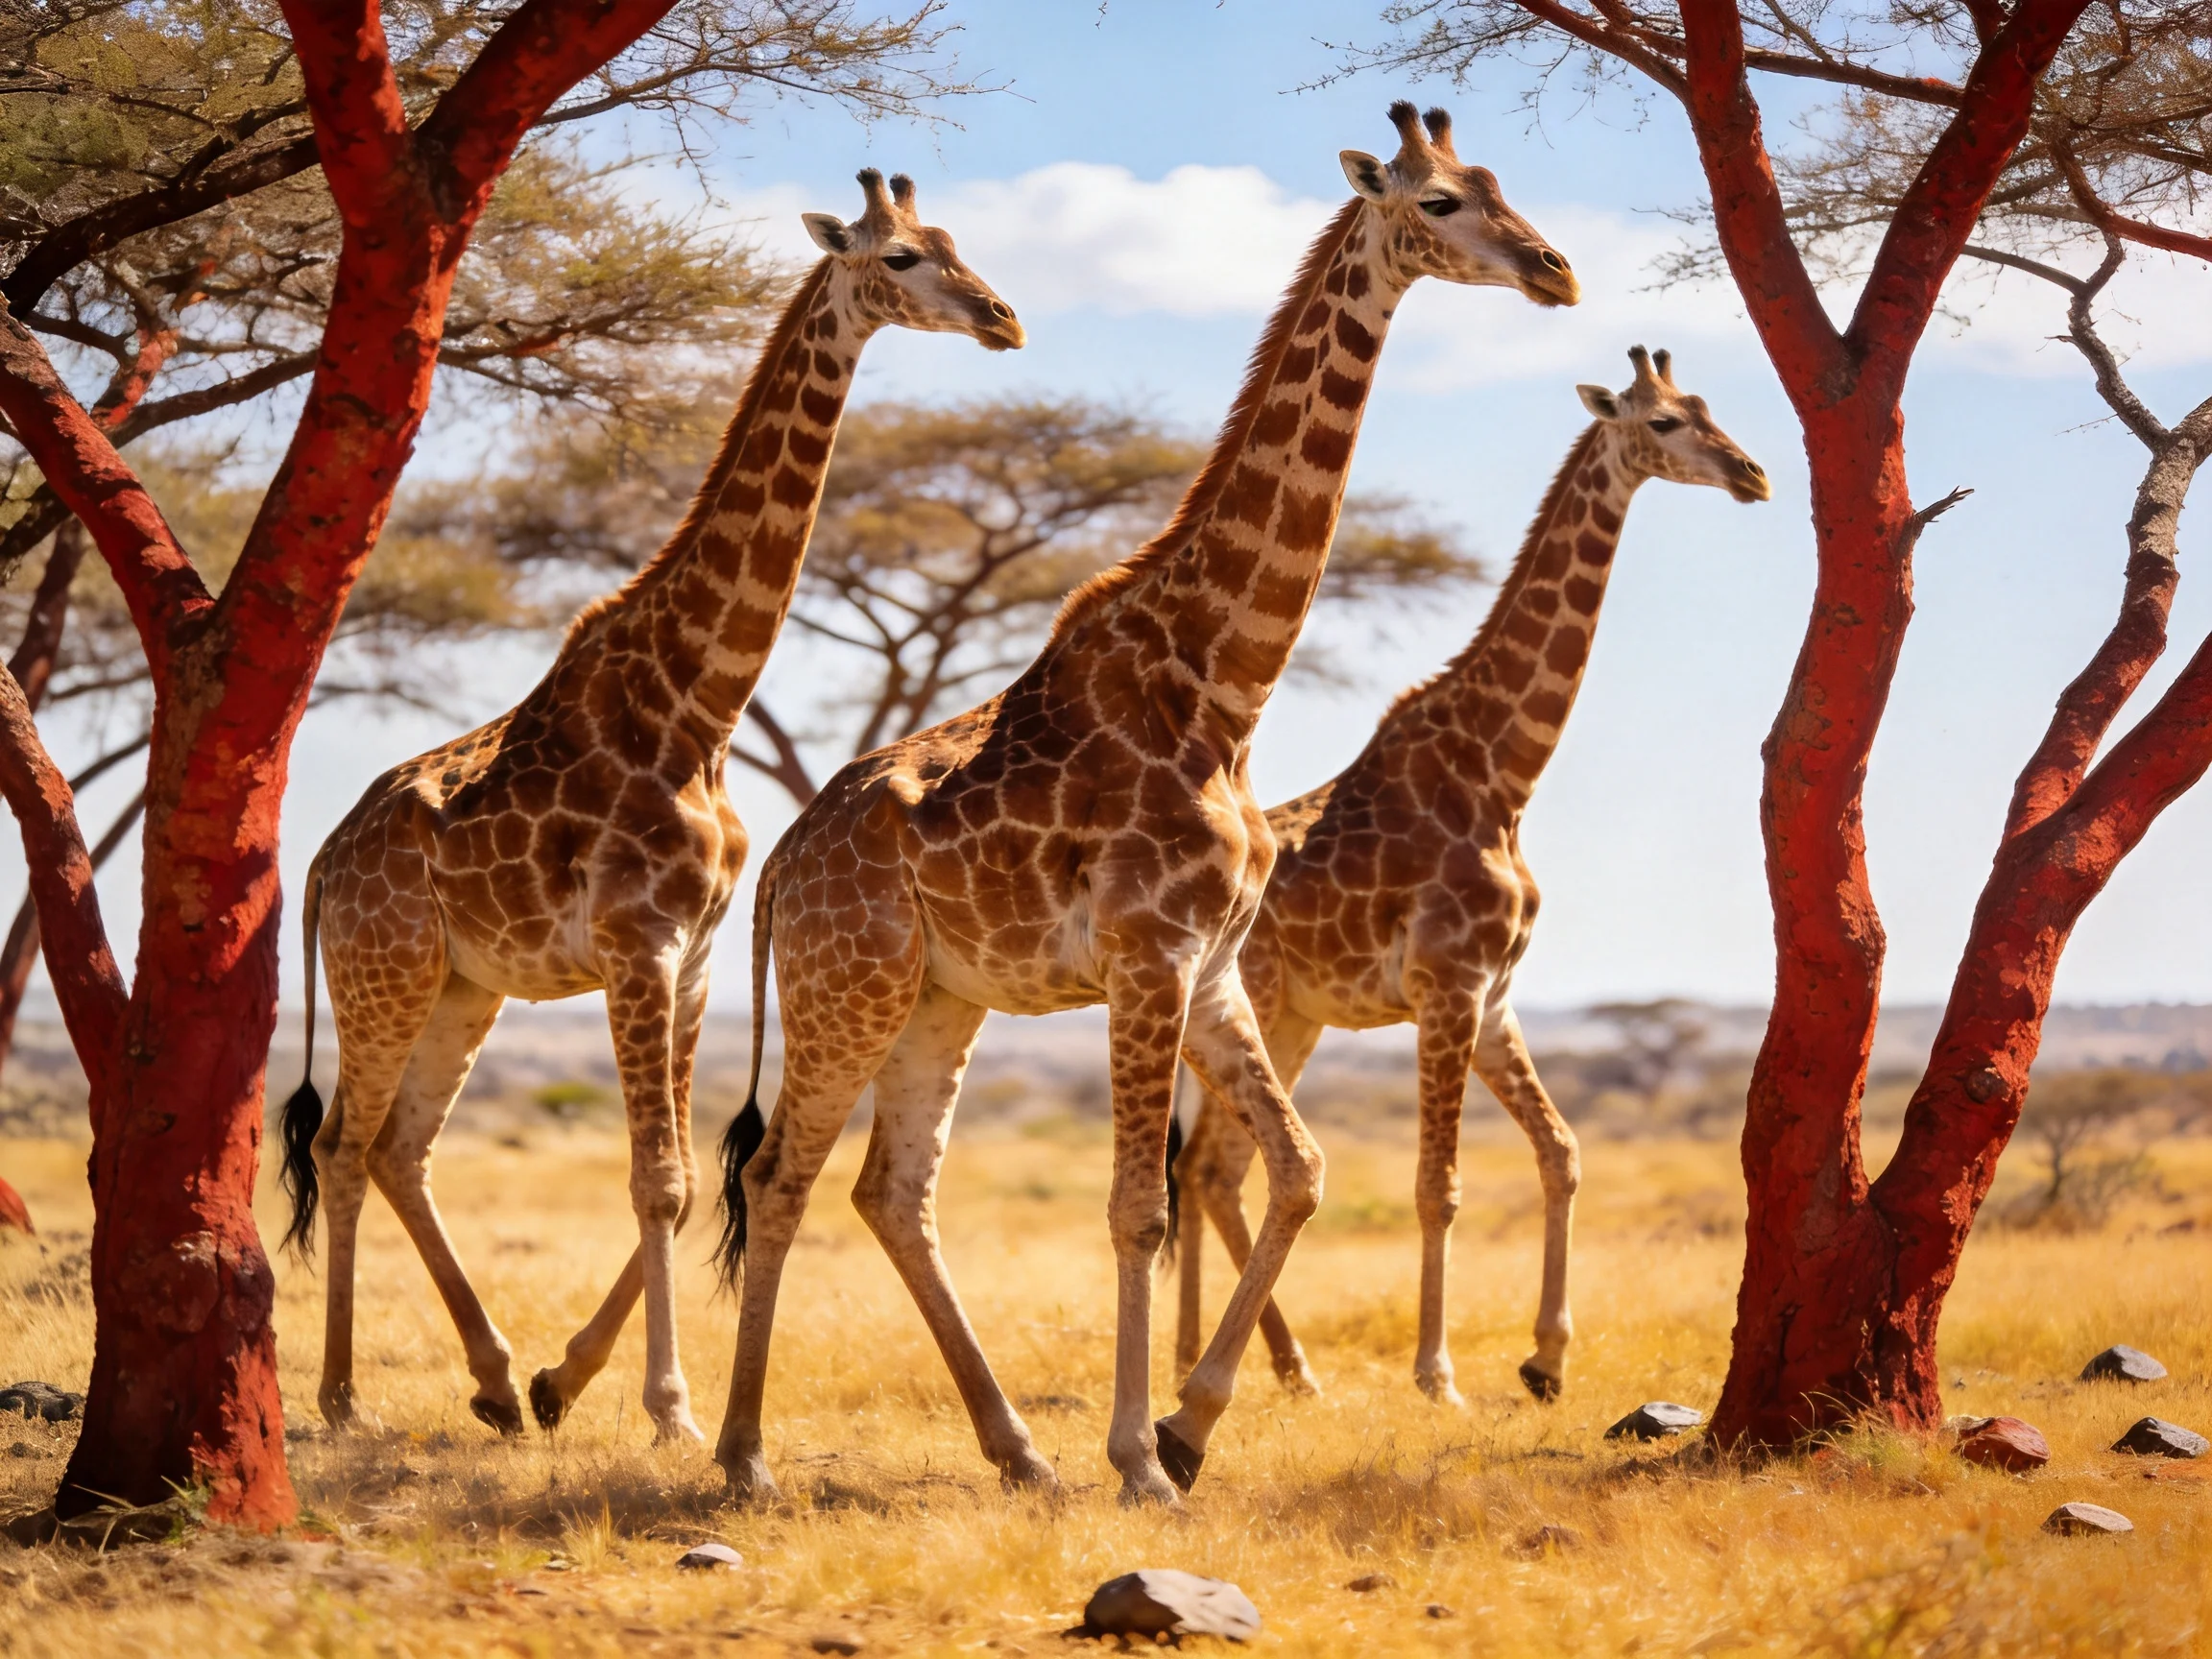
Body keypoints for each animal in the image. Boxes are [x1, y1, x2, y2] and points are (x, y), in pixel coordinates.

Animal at [274, 170, 1023, 1445]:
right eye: (903, 258)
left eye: (957, 243)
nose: (1003, 319)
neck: (700, 703)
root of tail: (323, 860)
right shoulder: (639, 943)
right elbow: (658, 1176)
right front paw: (670, 1411)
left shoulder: (701, 956)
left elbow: (677, 1181)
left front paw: (565, 1380)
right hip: (387, 972)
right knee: (341, 1141)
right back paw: (338, 1398)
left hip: (464, 984)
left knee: (400, 1148)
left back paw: (491, 1378)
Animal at [710, 104, 1580, 1506]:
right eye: (1440, 202)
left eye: (1500, 183)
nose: (1557, 269)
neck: (1223, 683)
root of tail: (782, 868)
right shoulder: (1146, 956)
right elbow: (1140, 1206)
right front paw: (1139, 1455)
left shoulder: (1216, 966)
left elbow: (1299, 1170)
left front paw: (1188, 1422)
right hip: (849, 988)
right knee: (785, 1176)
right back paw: (743, 1457)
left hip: (937, 1001)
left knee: (891, 1192)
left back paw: (1015, 1450)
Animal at [1170, 346, 1769, 1406]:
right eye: (1663, 423)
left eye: (1708, 406)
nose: (1752, 475)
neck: (1503, 772)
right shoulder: (1446, 987)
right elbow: (1437, 1186)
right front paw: (1437, 1375)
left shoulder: (1494, 999)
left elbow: (1563, 1152)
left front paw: (1548, 1359)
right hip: (1265, 1007)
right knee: (1217, 1168)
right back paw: (1251, 1367)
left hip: (1294, 1017)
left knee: (1214, 1169)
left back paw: (1238, 1363)